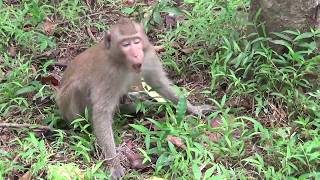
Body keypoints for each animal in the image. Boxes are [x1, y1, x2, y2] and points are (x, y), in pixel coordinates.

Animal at [56, 17, 211, 179]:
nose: (136, 55)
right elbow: (101, 112)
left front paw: (194, 109)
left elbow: (159, 84)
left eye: (136, 41)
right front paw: (114, 164)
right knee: (78, 89)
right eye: (125, 44)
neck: (123, 63)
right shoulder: (109, 74)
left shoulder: (148, 56)